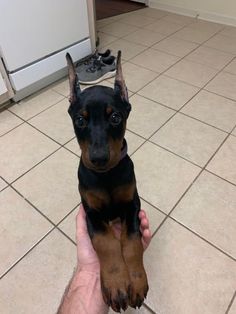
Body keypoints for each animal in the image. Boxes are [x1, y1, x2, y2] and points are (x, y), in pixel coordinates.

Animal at [66, 51, 148, 312]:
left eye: (115, 117)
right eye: (80, 120)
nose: (99, 158)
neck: (106, 175)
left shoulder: (132, 204)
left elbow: (131, 241)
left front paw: (136, 280)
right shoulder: (91, 212)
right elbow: (106, 243)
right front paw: (116, 285)